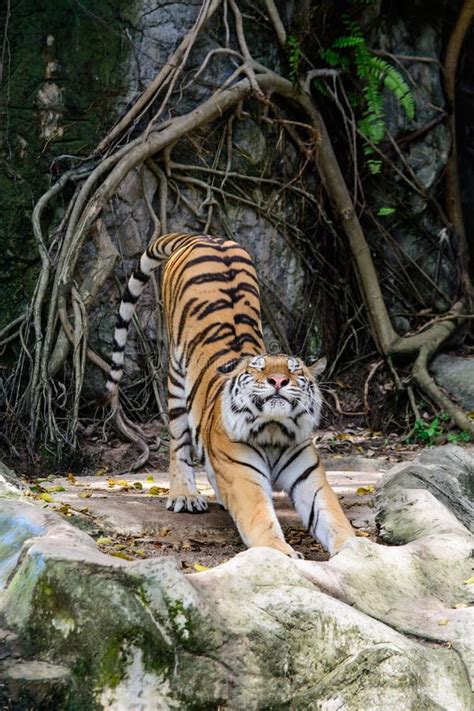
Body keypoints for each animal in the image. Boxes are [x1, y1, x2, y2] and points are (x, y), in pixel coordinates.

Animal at [105, 231, 354, 560]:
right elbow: (262, 521)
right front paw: (284, 554)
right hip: (175, 378)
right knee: (178, 444)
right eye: (259, 369)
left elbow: (334, 520)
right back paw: (185, 496)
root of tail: (203, 236)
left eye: (294, 371)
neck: (274, 430)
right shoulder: (244, 479)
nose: (278, 380)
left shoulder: (309, 478)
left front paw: (363, 550)